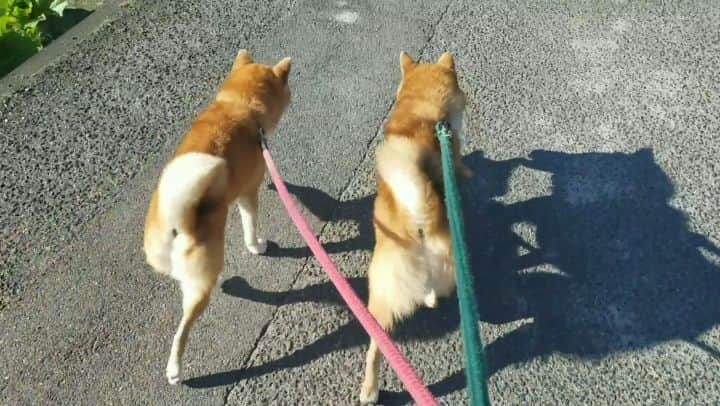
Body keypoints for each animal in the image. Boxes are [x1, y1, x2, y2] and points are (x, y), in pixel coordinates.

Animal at [142, 50, 292, 384]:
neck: (239, 105)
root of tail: (176, 220)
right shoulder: (248, 193)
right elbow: (250, 226)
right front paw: (257, 245)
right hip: (202, 278)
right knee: (183, 329)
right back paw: (175, 369)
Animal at [358, 51, 470, 402]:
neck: (422, 112)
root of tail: (415, 219)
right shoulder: (455, 158)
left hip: (380, 298)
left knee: (376, 347)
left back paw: (369, 391)